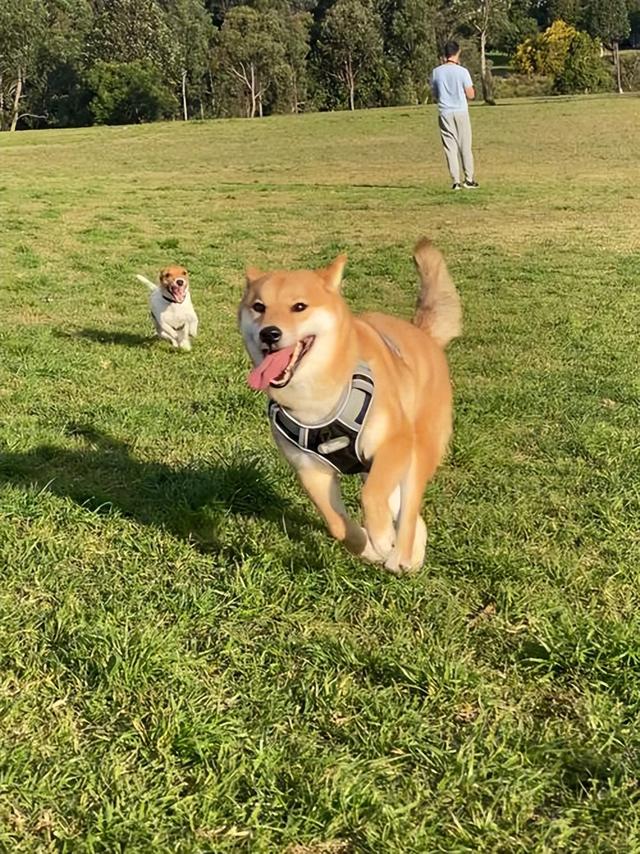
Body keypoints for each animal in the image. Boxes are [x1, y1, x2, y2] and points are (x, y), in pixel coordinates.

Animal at [238, 237, 462, 580]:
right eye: (259, 307)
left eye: (299, 307)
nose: (269, 333)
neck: (318, 395)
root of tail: (423, 335)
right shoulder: (310, 470)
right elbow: (338, 527)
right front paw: (368, 547)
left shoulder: (394, 442)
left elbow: (370, 495)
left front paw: (381, 537)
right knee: (412, 516)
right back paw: (410, 555)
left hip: (416, 451)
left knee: (409, 510)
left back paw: (401, 554)